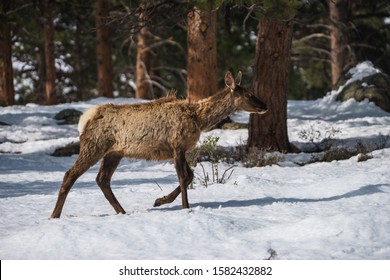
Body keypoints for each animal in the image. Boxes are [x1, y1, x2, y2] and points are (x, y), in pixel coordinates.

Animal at [50, 70, 266, 219]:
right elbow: (183, 177)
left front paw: (160, 201)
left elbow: (189, 176)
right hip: (94, 146)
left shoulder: (180, 149)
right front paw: (185, 207)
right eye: (248, 94)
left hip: (114, 153)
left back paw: (122, 211)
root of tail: (84, 120)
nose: (265, 105)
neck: (199, 119)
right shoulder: (177, 145)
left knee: (102, 179)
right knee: (70, 174)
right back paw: (55, 215)